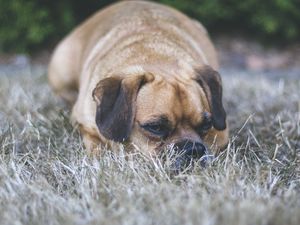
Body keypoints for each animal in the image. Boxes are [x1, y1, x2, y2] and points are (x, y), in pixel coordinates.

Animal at [48, 0, 229, 165]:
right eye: (156, 127)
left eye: (206, 125)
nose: (193, 149)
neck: (154, 55)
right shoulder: (84, 124)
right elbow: (98, 145)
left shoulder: (220, 134)